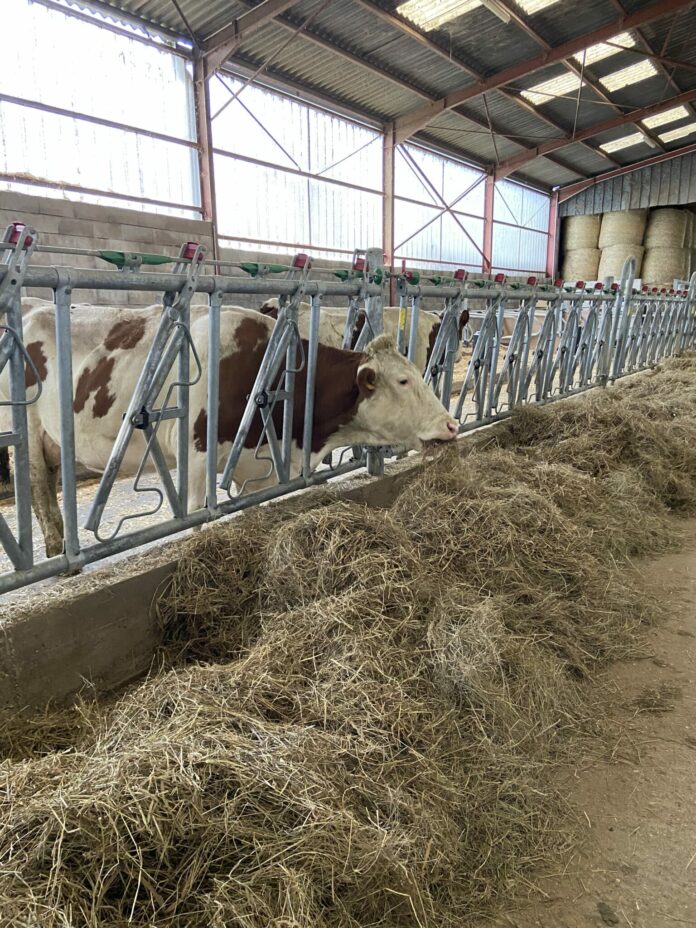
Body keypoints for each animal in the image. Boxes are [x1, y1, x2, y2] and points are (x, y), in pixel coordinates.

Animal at [0, 303, 458, 558]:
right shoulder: (195, 457)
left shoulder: (257, 467)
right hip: (26, 441)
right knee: (41, 499)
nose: (451, 424)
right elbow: (196, 519)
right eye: (403, 381)